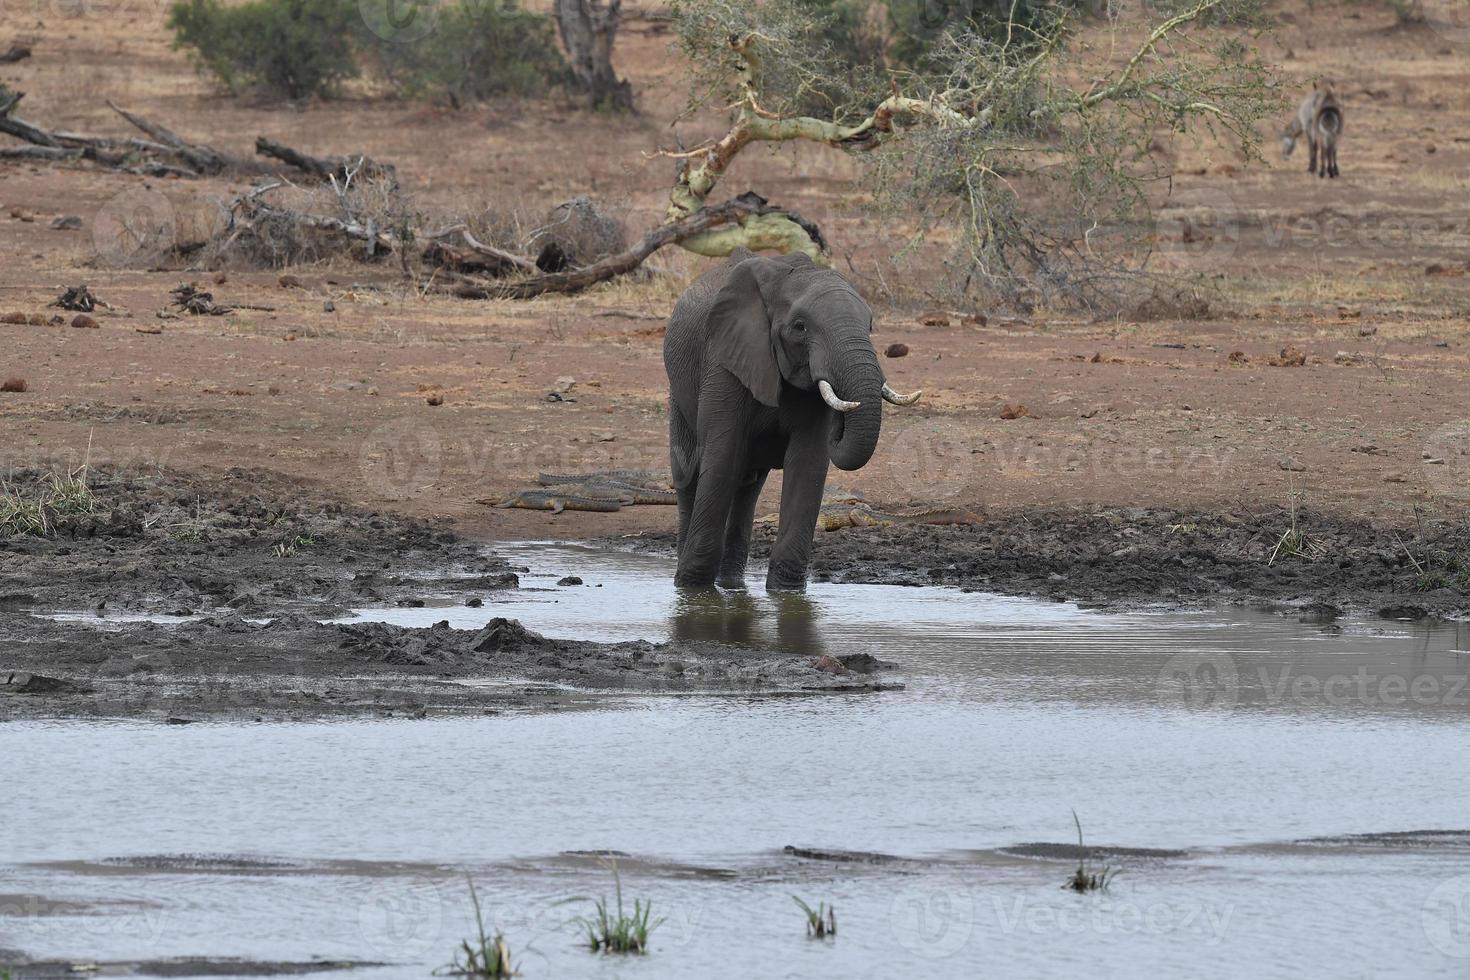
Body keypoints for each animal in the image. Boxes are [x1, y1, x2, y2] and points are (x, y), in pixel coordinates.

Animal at [664, 251, 917, 590]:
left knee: (748, 486)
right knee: (690, 474)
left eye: (871, 325)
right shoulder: (724, 359)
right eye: (800, 327)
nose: (844, 415)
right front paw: (693, 588)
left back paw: (731, 584)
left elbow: (807, 463)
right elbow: (722, 456)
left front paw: (786, 591)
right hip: (679, 393)